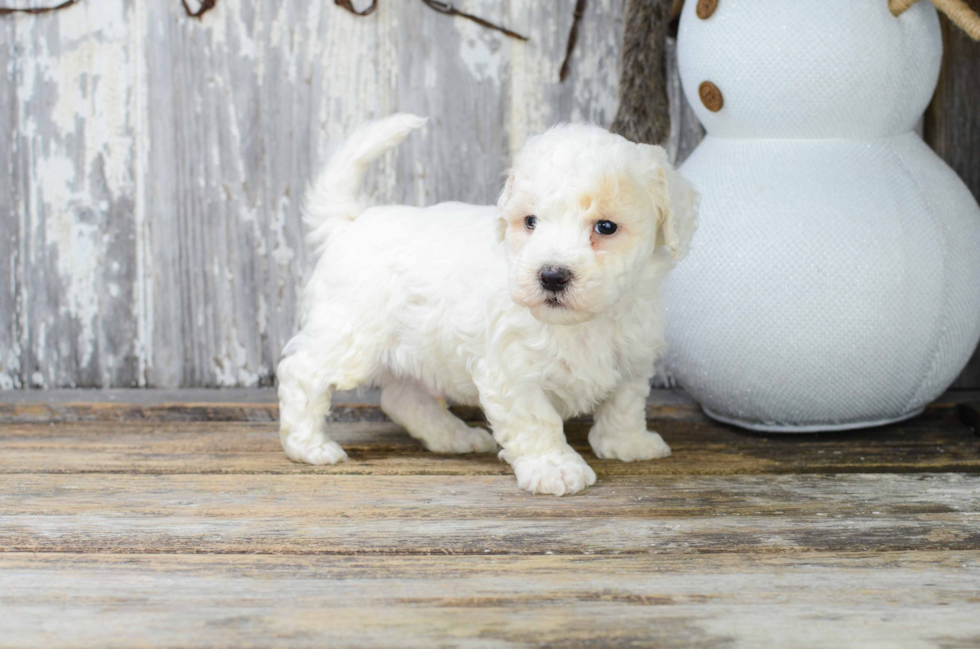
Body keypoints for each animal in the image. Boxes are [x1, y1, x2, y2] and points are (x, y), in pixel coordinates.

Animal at [278, 114, 696, 494]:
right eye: (530, 222)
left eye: (606, 227)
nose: (552, 275)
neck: (582, 324)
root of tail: (351, 221)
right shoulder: (512, 371)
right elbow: (536, 421)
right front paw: (555, 468)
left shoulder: (634, 358)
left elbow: (625, 404)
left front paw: (627, 443)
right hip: (350, 337)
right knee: (303, 373)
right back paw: (309, 446)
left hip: (421, 347)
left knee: (402, 397)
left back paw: (453, 437)